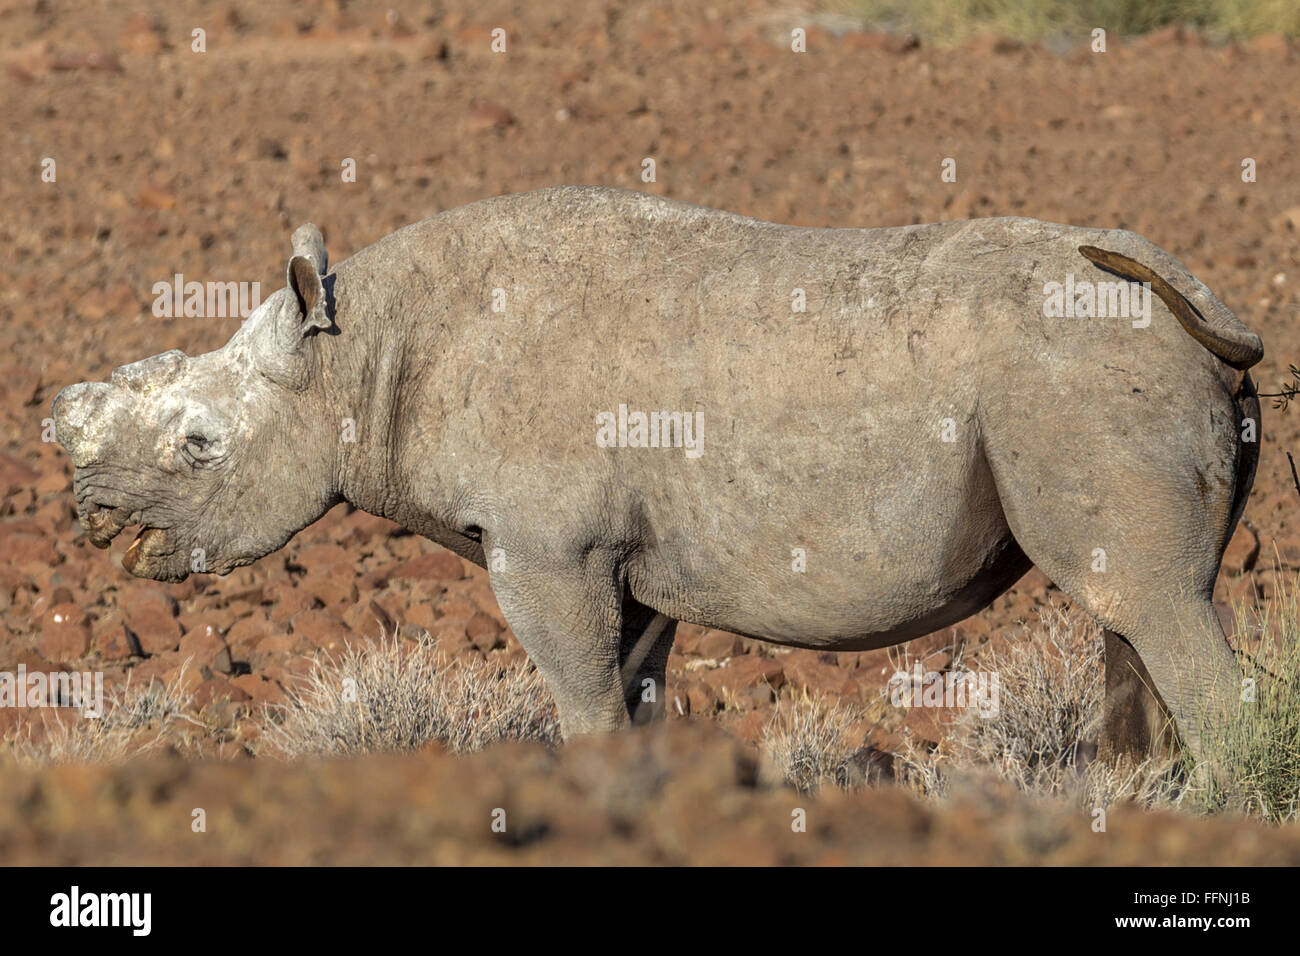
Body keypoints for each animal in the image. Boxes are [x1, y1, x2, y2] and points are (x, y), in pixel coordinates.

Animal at [50, 188, 1258, 770]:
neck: (357, 353)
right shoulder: (619, 559)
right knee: (1133, 614)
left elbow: (578, 695)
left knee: (1149, 602)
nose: (91, 519)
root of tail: (1197, 310)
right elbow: (628, 689)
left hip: (1078, 381)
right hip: (1097, 376)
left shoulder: (546, 549)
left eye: (200, 446)